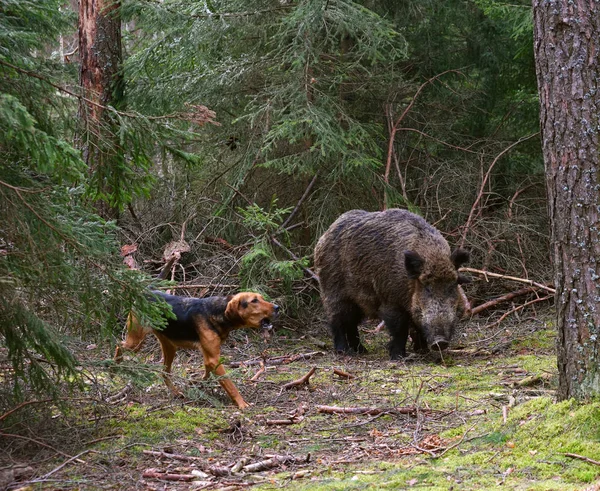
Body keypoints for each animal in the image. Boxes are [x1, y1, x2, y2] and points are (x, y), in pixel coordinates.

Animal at [115, 290, 278, 410]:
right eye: (254, 301)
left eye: (261, 298)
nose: (277, 307)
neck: (218, 312)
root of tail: (145, 292)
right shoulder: (213, 359)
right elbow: (230, 385)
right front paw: (242, 403)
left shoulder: (209, 357)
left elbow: (206, 373)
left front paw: (198, 383)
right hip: (135, 342)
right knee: (118, 344)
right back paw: (116, 363)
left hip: (169, 346)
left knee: (164, 372)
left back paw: (175, 392)